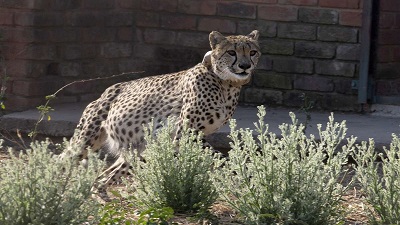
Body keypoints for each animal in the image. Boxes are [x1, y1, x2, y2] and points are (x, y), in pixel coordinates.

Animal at [66, 29, 260, 199]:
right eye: (231, 52)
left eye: (252, 52)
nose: (245, 66)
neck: (227, 84)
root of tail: (104, 93)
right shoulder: (185, 133)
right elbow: (216, 156)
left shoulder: (195, 135)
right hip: (85, 142)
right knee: (65, 161)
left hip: (139, 149)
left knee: (105, 176)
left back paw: (99, 194)